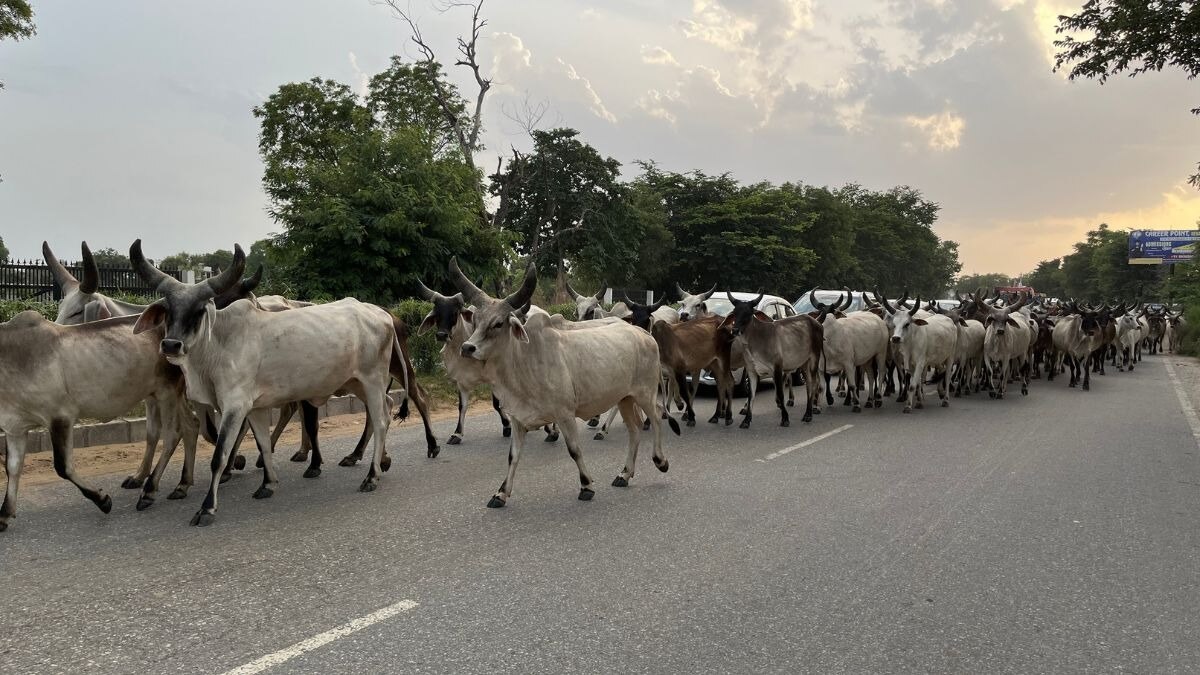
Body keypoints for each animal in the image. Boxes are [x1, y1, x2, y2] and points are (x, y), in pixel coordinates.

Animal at [130, 241, 405, 525]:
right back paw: (380, 461)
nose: (171, 345)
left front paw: (206, 508)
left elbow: (220, 456)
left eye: (198, 311)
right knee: (386, 406)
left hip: (372, 380)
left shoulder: (235, 406)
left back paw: (371, 476)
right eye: (168, 311)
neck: (219, 344)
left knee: (380, 421)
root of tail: (381, 314)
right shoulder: (255, 408)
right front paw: (268, 483)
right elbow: (263, 443)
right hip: (356, 383)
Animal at [448, 259, 676, 507]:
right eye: (475, 321)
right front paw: (501, 493)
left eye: (498, 323)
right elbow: (513, 456)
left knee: (656, 417)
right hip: (624, 398)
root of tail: (644, 333)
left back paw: (661, 460)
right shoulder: (518, 418)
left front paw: (586, 485)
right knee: (634, 429)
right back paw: (624, 474)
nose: (467, 348)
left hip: (645, 393)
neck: (525, 361)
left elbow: (574, 450)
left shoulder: (565, 414)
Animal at [719, 293, 822, 427]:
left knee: (814, 383)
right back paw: (807, 413)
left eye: (748, 313)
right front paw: (746, 420)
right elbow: (751, 396)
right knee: (809, 384)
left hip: (815, 357)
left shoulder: (777, 369)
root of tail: (815, 321)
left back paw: (809, 413)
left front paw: (785, 418)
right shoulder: (751, 371)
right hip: (804, 363)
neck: (757, 340)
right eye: (735, 313)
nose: (735, 330)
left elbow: (780, 394)